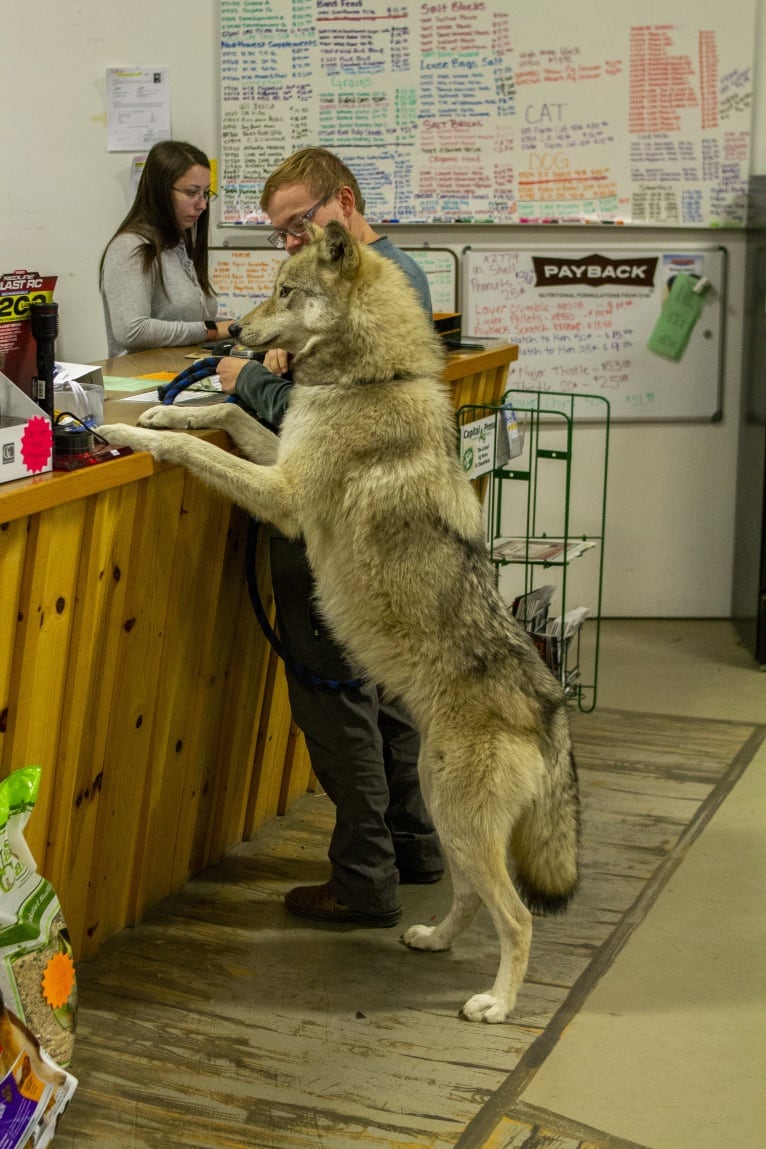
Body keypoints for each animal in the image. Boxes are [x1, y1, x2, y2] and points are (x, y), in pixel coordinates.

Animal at [101, 221, 581, 1024]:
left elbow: (194, 446)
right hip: (446, 809)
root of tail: (550, 703)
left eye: (285, 291)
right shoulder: (278, 458)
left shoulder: (285, 495)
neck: (370, 379)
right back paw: (431, 938)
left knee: (516, 917)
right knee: (472, 899)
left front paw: (135, 432)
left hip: (464, 820)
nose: (232, 331)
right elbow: (223, 414)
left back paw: (495, 1002)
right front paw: (169, 407)